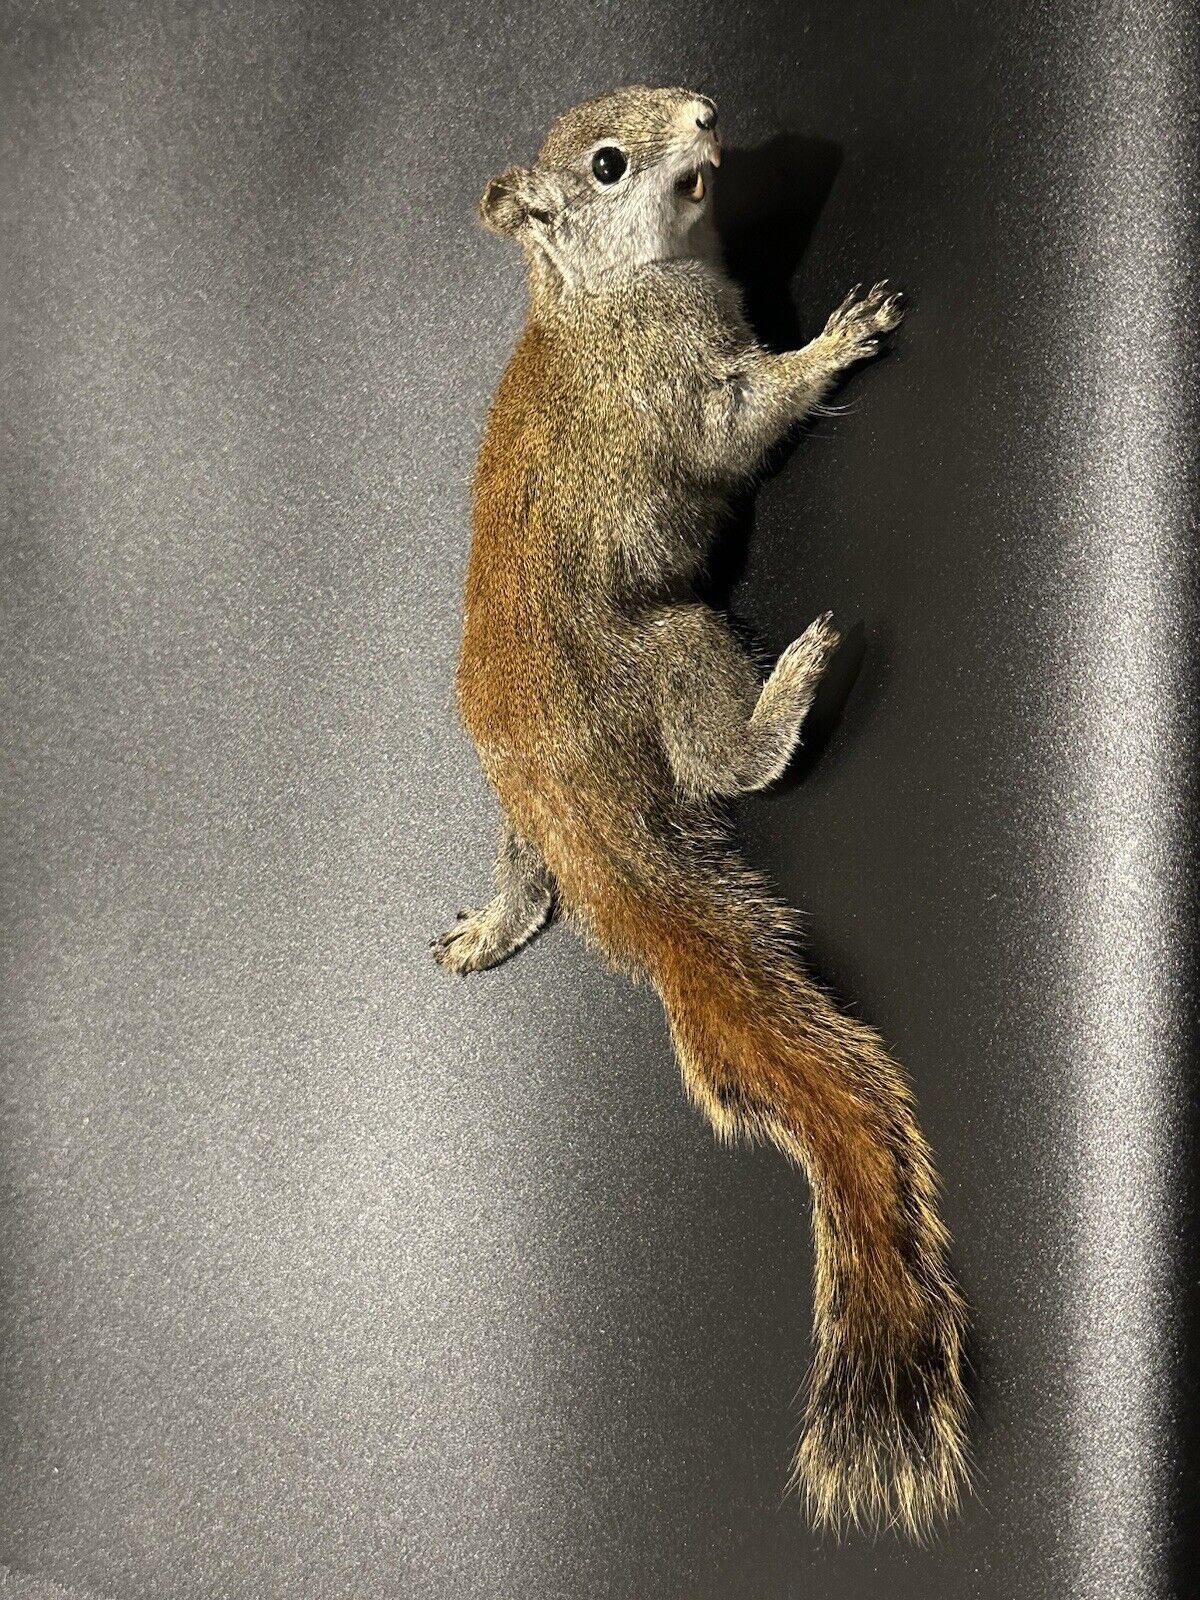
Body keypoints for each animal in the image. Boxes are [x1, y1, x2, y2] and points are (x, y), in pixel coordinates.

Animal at [434, 85, 968, 1536]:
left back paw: (496, 922)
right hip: (669, 650)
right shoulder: (686, 390)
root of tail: (577, 814)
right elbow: (748, 420)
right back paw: (787, 697)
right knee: (727, 765)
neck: (608, 293)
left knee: (529, 880)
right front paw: (840, 334)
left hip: (520, 823)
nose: (707, 114)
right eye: (611, 164)